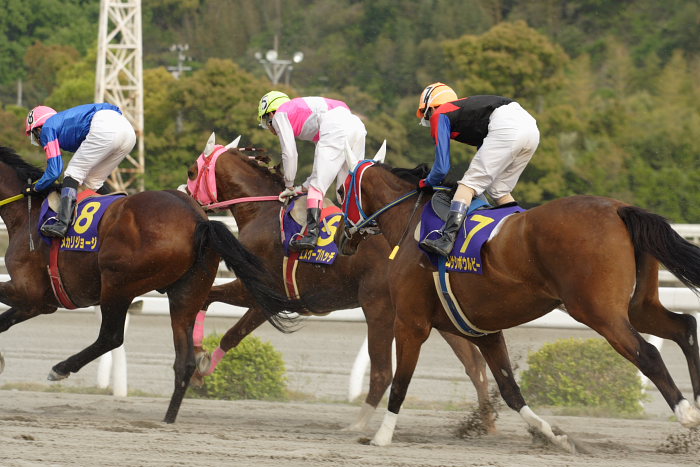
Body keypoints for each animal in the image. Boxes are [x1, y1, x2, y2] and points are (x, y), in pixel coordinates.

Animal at [0, 146, 298, 424]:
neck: (26, 213)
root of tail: (199, 220)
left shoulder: (29, 291)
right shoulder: (41, 301)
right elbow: (5, 321)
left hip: (117, 284)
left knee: (111, 337)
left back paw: (60, 369)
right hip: (186, 294)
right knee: (184, 362)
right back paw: (168, 418)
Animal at [183, 134, 494, 432]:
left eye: (191, 171)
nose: (186, 198)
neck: (262, 214)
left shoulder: (259, 290)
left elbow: (217, 312)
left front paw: (199, 361)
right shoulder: (271, 299)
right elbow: (230, 327)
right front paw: (200, 365)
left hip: (380, 310)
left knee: (384, 371)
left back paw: (358, 424)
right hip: (433, 310)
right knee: (474, 364)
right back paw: (484, 422)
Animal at [340, 160, 700, 450]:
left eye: (342, 190)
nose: (343, 238)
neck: (413, 225)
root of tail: (618, 209)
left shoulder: (411, 323)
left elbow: (400, 382)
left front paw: (381, 436)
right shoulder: (483, 331)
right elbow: (510, 390)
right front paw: (554, 437)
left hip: (600, 312)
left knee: (648, 352)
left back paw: (687, 414)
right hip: (638, 307)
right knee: (684, 326)